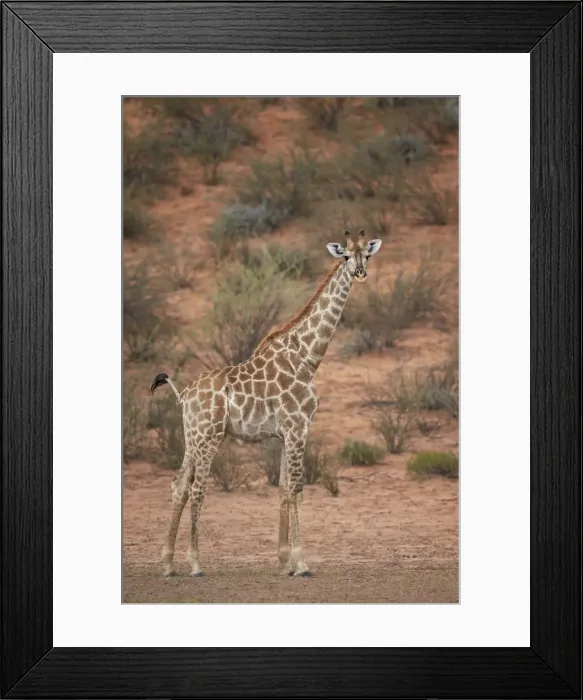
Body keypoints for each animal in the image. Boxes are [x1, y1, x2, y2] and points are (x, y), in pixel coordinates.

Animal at [150, 230, 382, 578]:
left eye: (366, 254)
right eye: (344, 255)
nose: (360, 273)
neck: (307, 357)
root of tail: (184, 394)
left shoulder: (286, 431)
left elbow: (284, 488)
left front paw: (285, 562)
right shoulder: (298, 426)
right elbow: (297, 488)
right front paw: (301, 564)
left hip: (192, 437)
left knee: (178, 486)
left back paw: (167, 564)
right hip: (209, 437)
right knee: (197, 489)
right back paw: (195, 564)